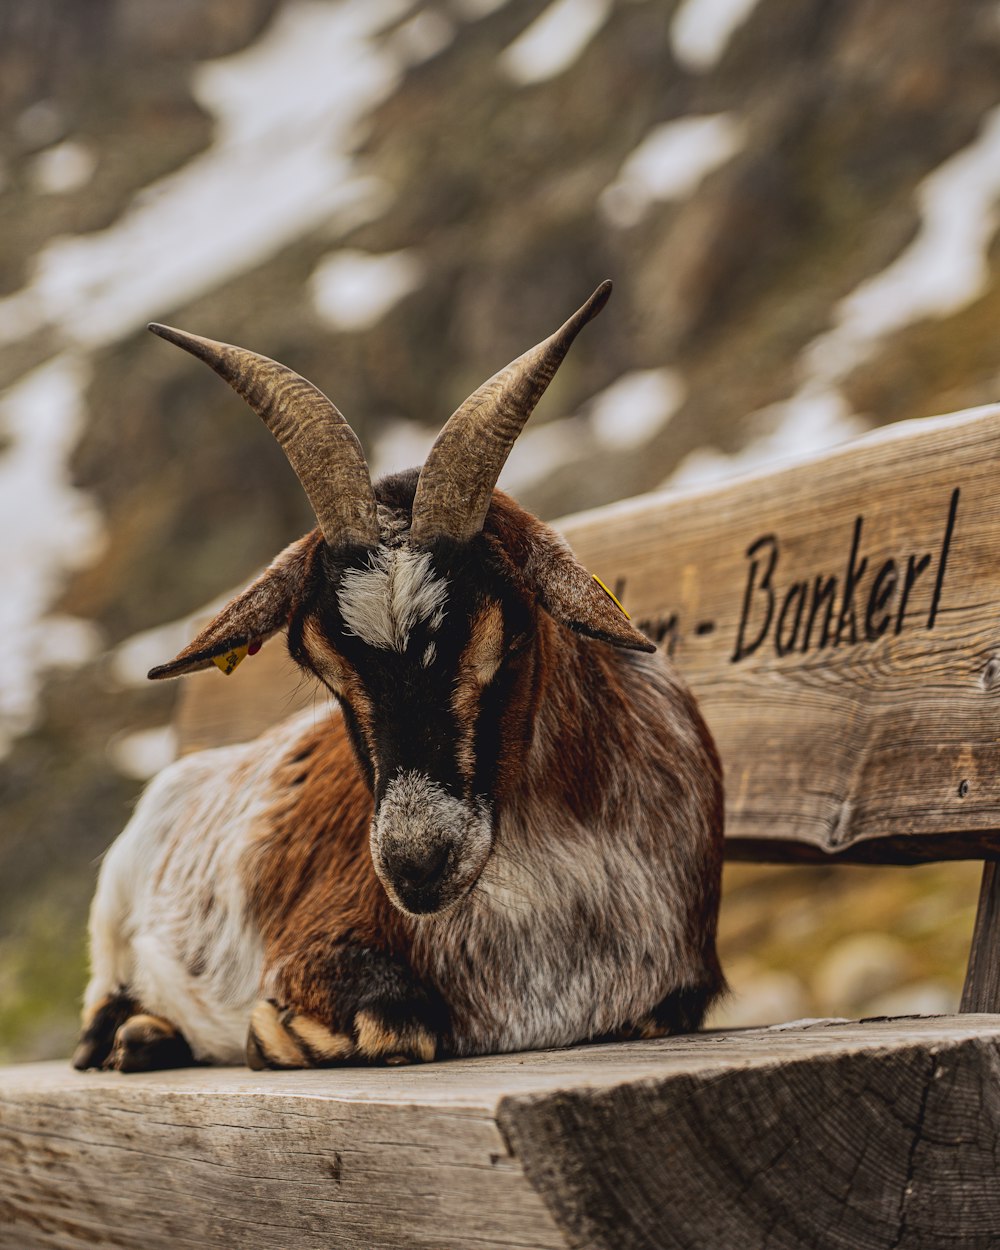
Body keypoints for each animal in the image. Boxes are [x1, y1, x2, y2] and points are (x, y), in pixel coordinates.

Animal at [74, 286, 725, 1075]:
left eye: (507, 633)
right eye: (318, 663)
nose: (415, 865)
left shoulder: (680, 989)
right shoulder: (314, 947)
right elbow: (398, 1022)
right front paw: (270, 1034)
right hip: (111, 920)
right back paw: (134, 1037)